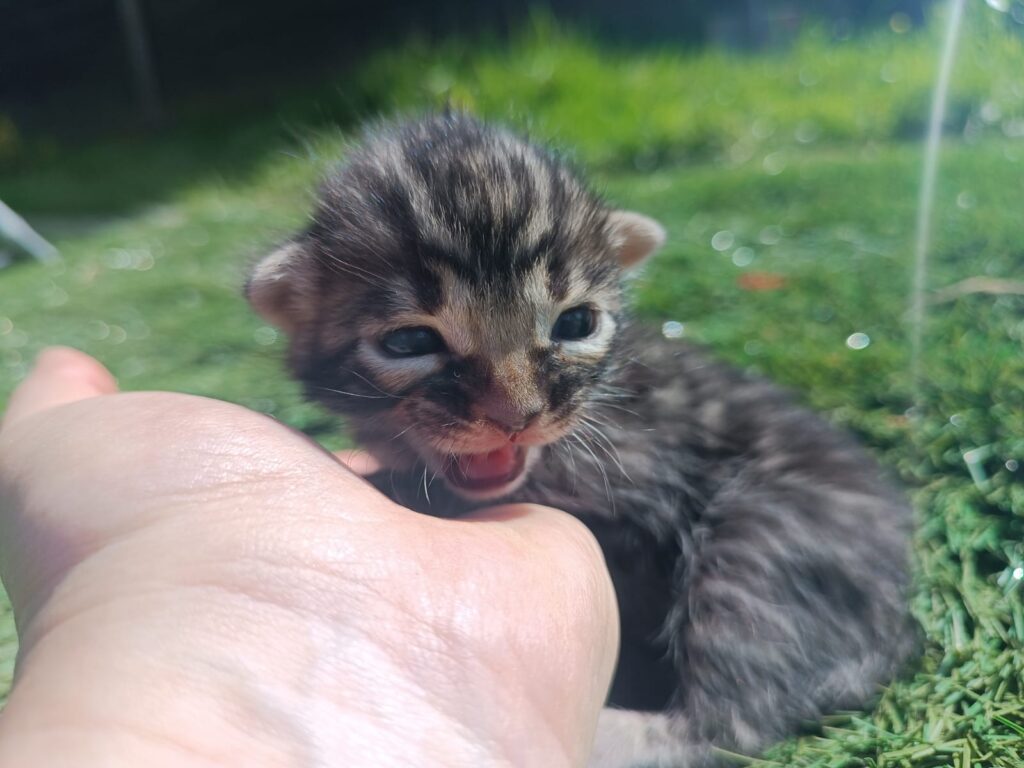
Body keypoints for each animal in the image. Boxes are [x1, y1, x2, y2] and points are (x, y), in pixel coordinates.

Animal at [249, 114, 921, 768]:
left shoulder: (630, 482)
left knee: (732, 723)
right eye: (411, 343)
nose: (517, 416)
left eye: (575, 324)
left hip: (763, 540)